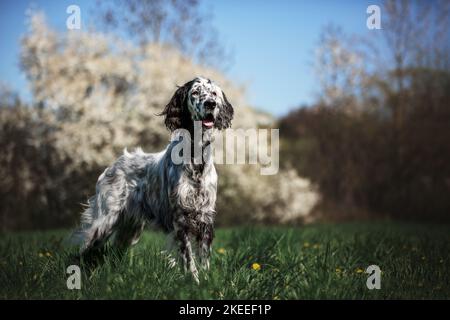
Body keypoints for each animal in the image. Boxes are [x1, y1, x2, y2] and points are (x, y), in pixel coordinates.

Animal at [75, 76, 234, 282]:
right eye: (195, 92)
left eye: (214, 93)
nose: (210, 104)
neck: (196, 157)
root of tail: (113, 165)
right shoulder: (180, 217)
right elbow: (188, 258)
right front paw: (194, 281)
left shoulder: (205, 217)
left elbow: (204, 257)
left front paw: (207, 281)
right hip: (104, 221)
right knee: (84, 249)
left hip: (130, 229)